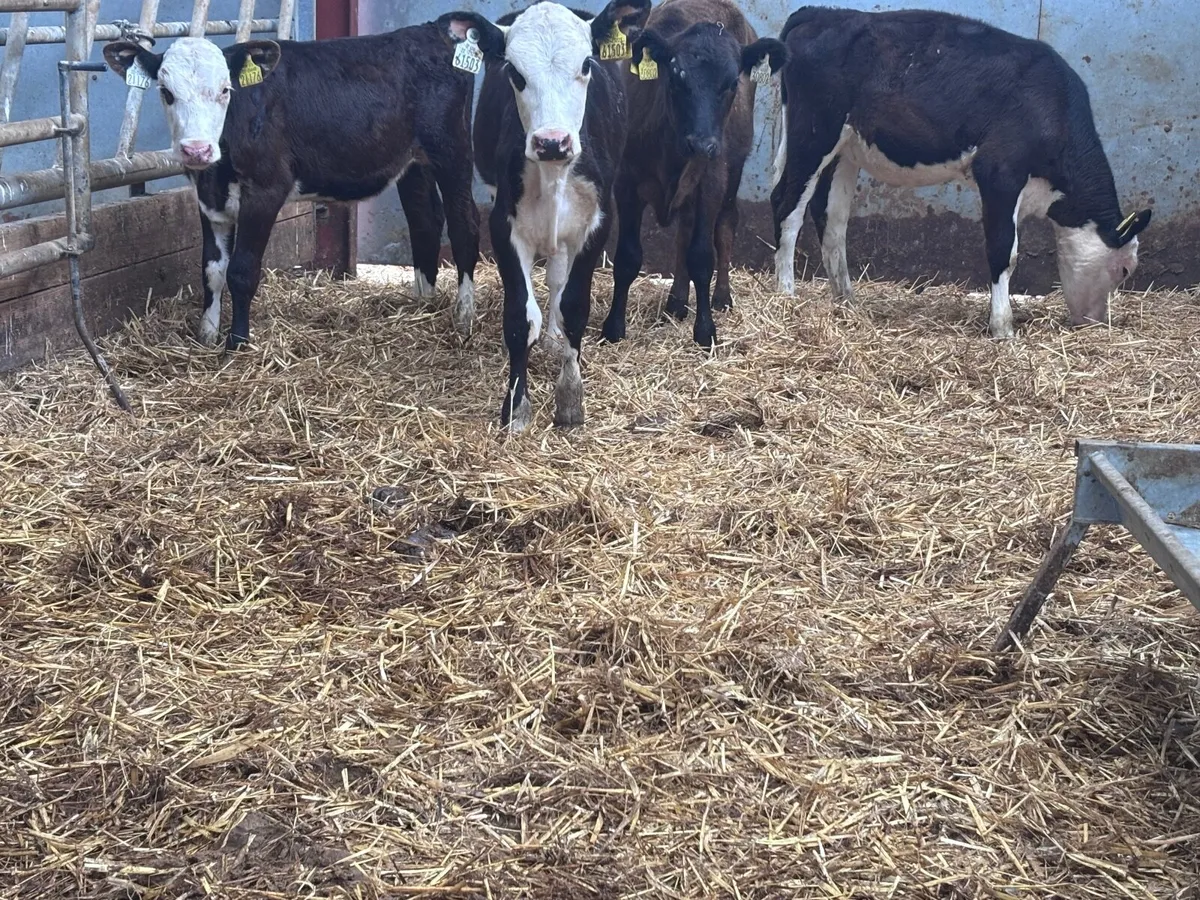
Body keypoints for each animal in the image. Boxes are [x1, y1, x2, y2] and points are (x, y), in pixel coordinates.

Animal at [102, 24, 483, 351]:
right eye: (166, 93)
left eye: (225, 90)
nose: (196, 149)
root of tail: (430, 30)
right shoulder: (208, 199)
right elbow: (211, 269)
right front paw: (206, 336)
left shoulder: (266, 190)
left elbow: (241, 271)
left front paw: (236, 343)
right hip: (414, 164)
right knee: (424, 220)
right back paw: (423, 303)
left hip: (452, 150)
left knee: (464, 224)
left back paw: (464, 316)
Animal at [443, 0, 652, 432]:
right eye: (514, 72)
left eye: (587, 63)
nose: (552, 141)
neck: (554, 174)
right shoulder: (503, 226)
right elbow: (519, 316)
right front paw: (515, 407)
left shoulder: (595, 225)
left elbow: (574, 306)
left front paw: (570, 398)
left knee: (558, 278)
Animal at [601, 0, 787, 349]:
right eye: (677, 77)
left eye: (731, 83)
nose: (701, 143)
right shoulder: (626, 183)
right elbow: (628, 257)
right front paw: (613, 327)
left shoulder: (711, 183)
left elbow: (701, 257)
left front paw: (705, 331)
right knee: (684, 231)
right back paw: (676, 300)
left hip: (731, 171)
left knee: (725, 226)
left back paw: (721, 297)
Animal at [769, 7, 1152, 339]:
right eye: (1124, 269)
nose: (1097, 323)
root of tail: (821, 12)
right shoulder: (999, 172)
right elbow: (1004, 251)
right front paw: (1003, 328)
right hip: (813, 134)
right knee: (787, 207)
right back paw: (786, 295)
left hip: (845, 149)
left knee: (831, 219)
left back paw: (846, 301)